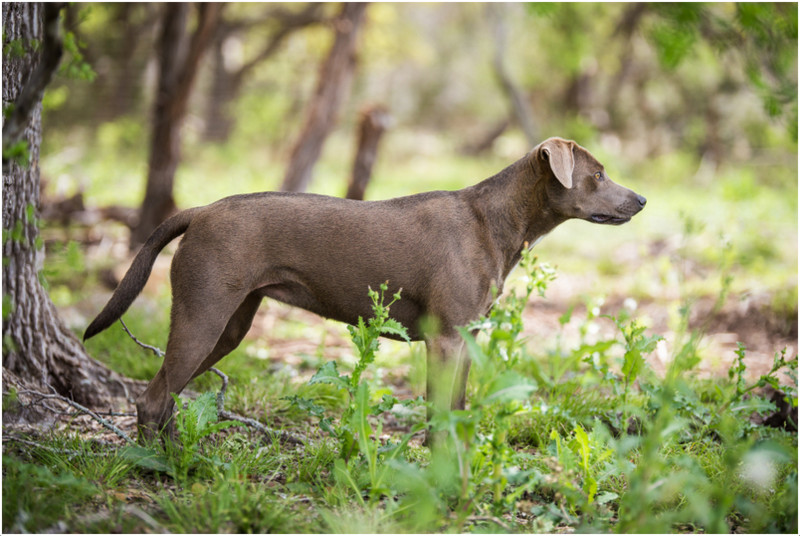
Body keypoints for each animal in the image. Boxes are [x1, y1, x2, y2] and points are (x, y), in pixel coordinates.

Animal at [84, 137, 646, 440]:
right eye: (598, 174)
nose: (641, 200)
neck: (495, 222)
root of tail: (199, 211)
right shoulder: (445, 340)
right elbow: (438, 416)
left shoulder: (466, 340)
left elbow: (457, 411)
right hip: (203, 317)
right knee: (153, 400)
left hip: (228, 327)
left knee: (165, 399)